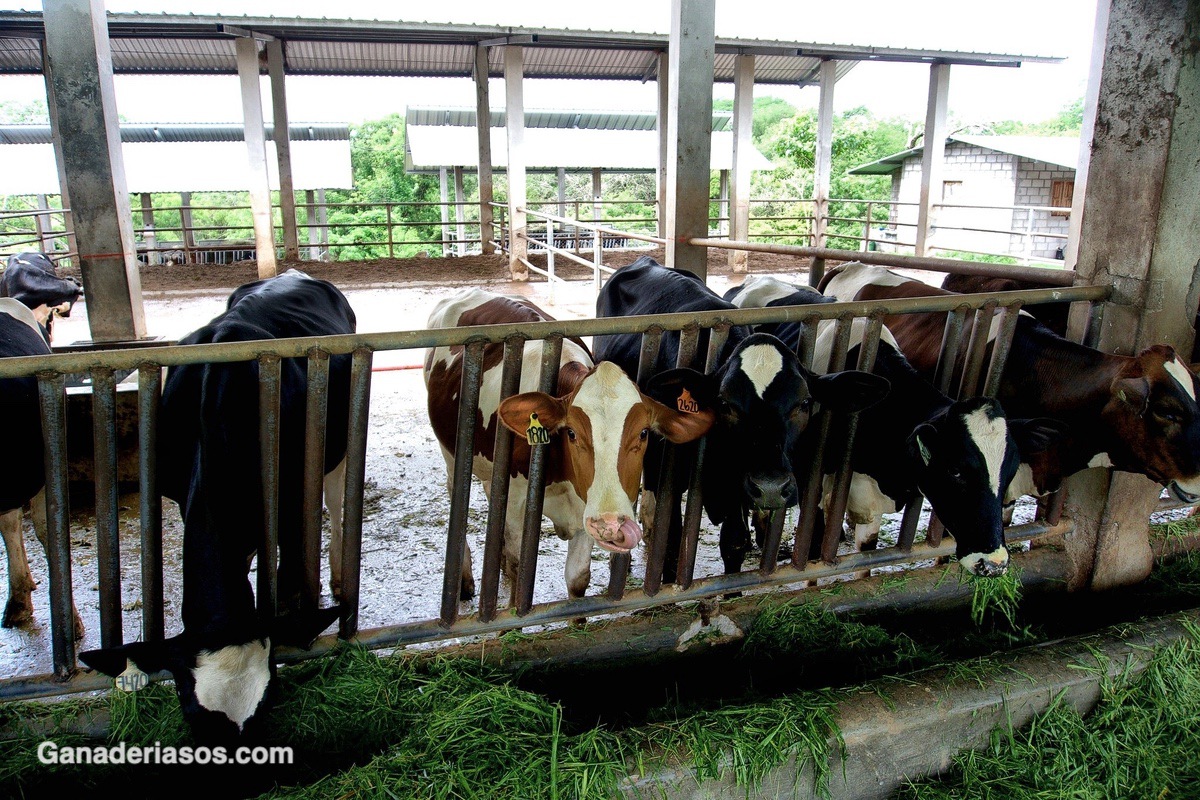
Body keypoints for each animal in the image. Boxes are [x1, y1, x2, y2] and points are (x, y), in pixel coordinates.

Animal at [427, 287, 715, 599]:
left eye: (643, 433)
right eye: (572, 433)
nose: (611, 523)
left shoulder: (585, 509)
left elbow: (578, 578)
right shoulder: (517, 504)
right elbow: (518, 569)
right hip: (452, 456)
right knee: (457, 500)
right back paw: (464, 580)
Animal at [592, 256, 892, 575]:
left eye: (804, 403)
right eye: (725, 404)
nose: (771, 487)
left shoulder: (737, 481)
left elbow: (734, 541)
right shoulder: (666, 472)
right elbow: (670, 542)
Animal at [724, 275, 1065, 575]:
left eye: (1010, 471)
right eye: (955, 471)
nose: (993, 562)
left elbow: (864, 558)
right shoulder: (813, 485)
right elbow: (814, 553)